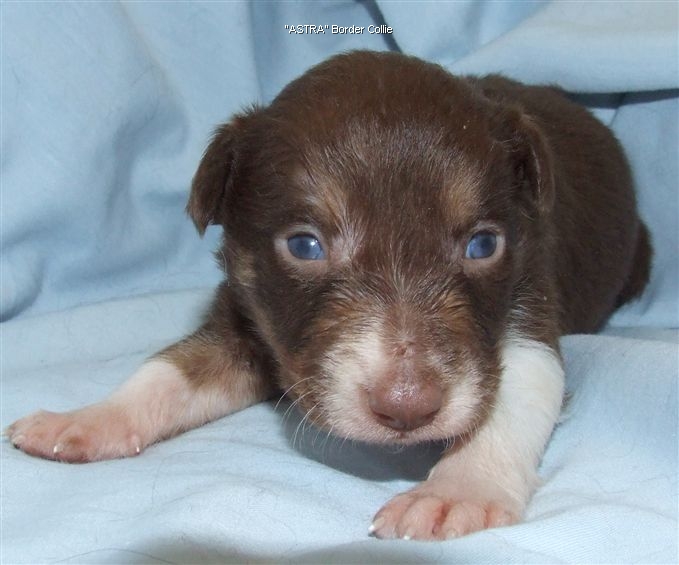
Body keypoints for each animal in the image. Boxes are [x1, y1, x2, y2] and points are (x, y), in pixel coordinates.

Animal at [6, 50, 651, 540]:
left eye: (483, 244)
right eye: (305, 245)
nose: (408, 407)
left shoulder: (528, 293)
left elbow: (520, 390)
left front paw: (458, 488)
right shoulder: (249, 318)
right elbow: (171, 368)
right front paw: (88, 419)